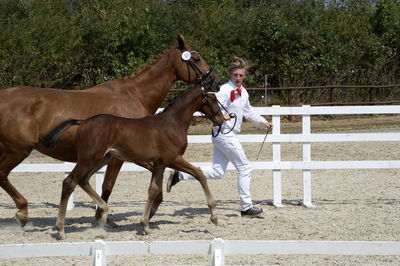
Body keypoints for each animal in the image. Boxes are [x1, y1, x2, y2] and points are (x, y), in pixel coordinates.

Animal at [0, 34, 216, 227]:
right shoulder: (120, 156)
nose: (214, 79)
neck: (134, 95)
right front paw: (104, 216)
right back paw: (23, 211)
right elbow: (108, 185)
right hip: (18, 150)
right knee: (2, 174)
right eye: (196, 58)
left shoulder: (138, 154)